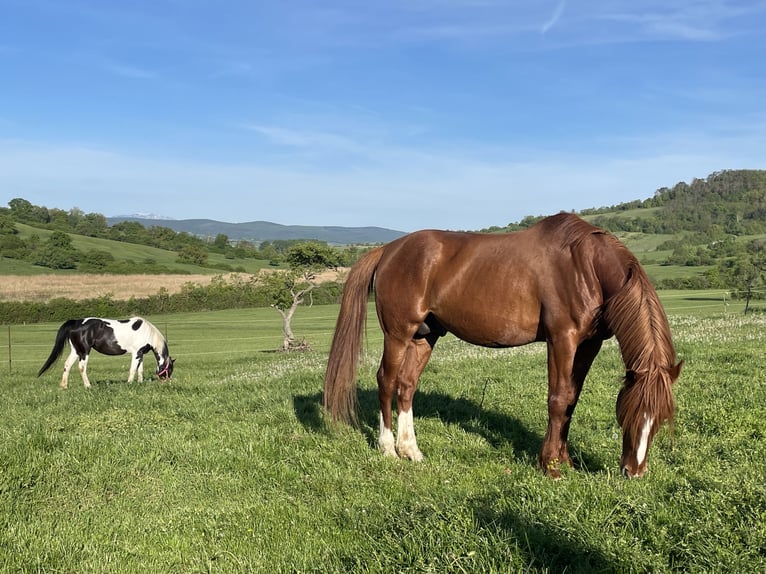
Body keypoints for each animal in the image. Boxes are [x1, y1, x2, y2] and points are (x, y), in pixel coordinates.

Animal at [38, 318, 176, 390]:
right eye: (169, 369)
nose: (167, 383)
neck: (148, 333)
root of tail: (76, 322)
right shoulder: (136, 353)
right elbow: (132, 369)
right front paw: (129, 384)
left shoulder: (140, 354)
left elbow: (140, 370)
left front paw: (140, 383)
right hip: (84, 352)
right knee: (81, 367)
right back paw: (88, 386)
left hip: (76, 351)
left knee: (67, 365)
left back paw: (64, 386)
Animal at [324, 214, 684, 480]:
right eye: (629, 412)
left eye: (662, 417)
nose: (634, 472)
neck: (586, 267)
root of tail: (388, 249)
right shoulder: (561, 339)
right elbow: (558, 400)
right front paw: (550, 466)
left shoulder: (588, 345)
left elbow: (572, 401)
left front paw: (566, 461)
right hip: (398, 334)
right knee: (386, 381)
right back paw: (388, 449)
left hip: (424, 336)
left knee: (407, 386)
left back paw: (411, 450)